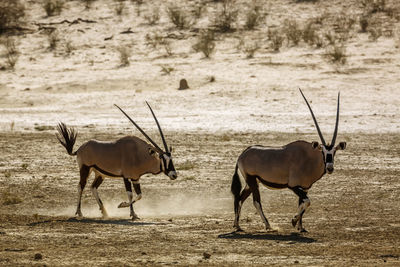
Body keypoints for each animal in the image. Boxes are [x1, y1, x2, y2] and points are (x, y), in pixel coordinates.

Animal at [231, 89, 346, 232]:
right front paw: (293, 221)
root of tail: (242, 155)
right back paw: (268, 225)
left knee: (240, 198)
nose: (330, 167)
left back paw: (237, 225)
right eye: (323, 151)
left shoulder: (305, 188)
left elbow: (302, 204)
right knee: (256, 201)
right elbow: (307, 202)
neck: (308, 158)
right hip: (252, 180)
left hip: (251, 182)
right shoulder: (293, 186)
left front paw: (300, 227)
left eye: (334, 151)